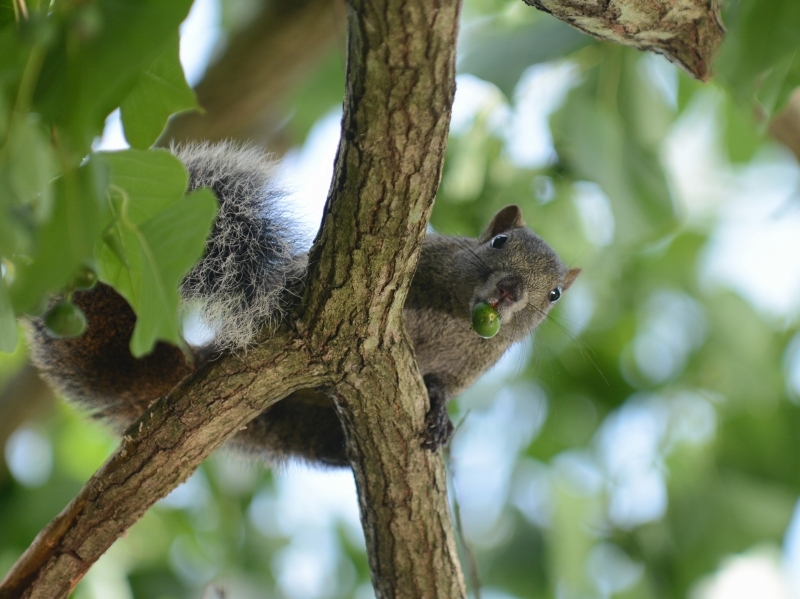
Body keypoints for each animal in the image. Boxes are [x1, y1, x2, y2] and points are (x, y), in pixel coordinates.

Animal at [26, 142, 580, 468]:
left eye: (553, 294)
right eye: (500, 242)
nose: (510, 291)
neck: (454, 317)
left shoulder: (471, 365)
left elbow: (442, 383)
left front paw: (440, 412)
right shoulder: (423, 260)